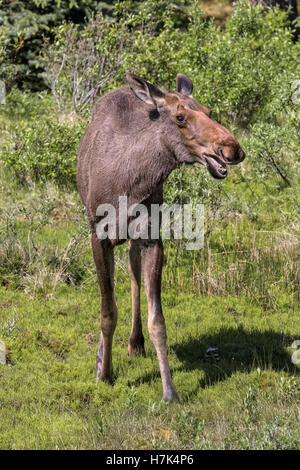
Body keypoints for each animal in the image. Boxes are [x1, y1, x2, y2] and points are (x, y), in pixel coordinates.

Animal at [76, 72, 245, 400]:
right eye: (180, 117)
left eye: (208, 110)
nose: (232, 149)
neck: (128, 186)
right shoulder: (97, 236)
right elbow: (107, 311)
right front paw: (104, 374)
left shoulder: (151, 237)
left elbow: (158, 321)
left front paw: (169, 390)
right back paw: (104, 357)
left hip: (136, 237)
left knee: (132, 275)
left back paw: (135, 343)